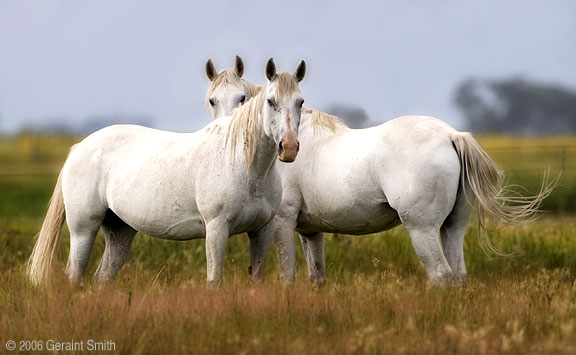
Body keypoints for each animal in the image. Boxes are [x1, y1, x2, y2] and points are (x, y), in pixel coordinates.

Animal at [28, 57, 306, 286]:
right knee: (75, 276)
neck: (246, 166)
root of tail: (79, 148)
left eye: (300, 102)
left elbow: (256, 280)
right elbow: (214, 281)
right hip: (83, 229)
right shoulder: (216, 229)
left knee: (103, 277)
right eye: (270, 101)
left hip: (119, 230)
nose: (289, 147)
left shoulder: (261, 231)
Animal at [208, 76, 552, 286]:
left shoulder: (282, 222)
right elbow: (316, 276)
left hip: (423, 230)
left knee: (441, 274)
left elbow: (287, 275)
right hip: (452, 228)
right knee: (457, 274)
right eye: (212, 100)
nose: (221, 133)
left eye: (242, 98)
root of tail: (451, 135)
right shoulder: (311, 231)